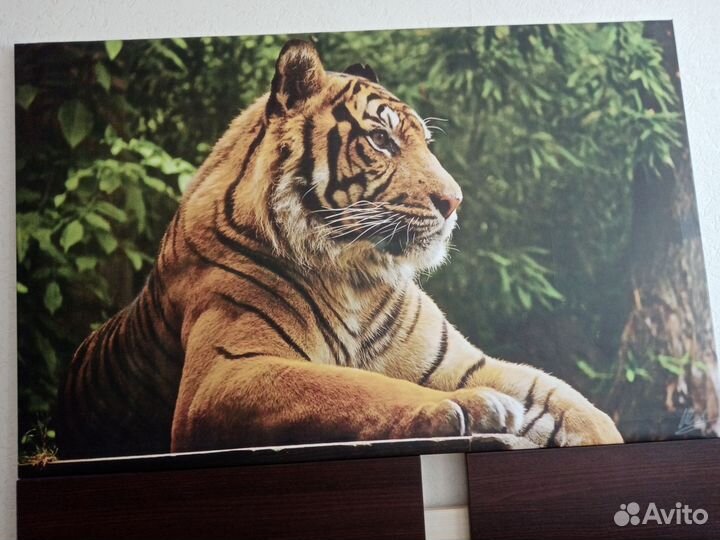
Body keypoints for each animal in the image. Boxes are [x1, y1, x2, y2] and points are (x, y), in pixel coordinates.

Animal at [58, 40, 622, 459]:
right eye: (381, 141)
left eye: (424, 144)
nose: (454, 201)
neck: (356, 274)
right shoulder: (224, 373)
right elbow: (353, 387)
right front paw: (471, 408)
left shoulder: (464, 360)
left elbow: (567, 399)